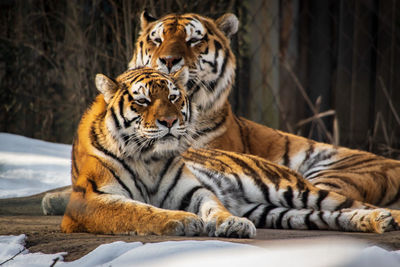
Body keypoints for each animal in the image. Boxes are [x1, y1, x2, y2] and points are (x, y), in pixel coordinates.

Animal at [60, 66, 400, 237]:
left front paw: (230, 224)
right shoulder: (88, 201)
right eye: (143, 101)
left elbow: (214, 206)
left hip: (290, 189)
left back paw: (386, 218)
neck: (148, 159)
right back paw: (375, 223)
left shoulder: (193, 190)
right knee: (327, 216)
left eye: (173, 97)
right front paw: (182, 221)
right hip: (277, 212)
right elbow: (136, 211)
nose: (169, 121)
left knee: (346, 203)